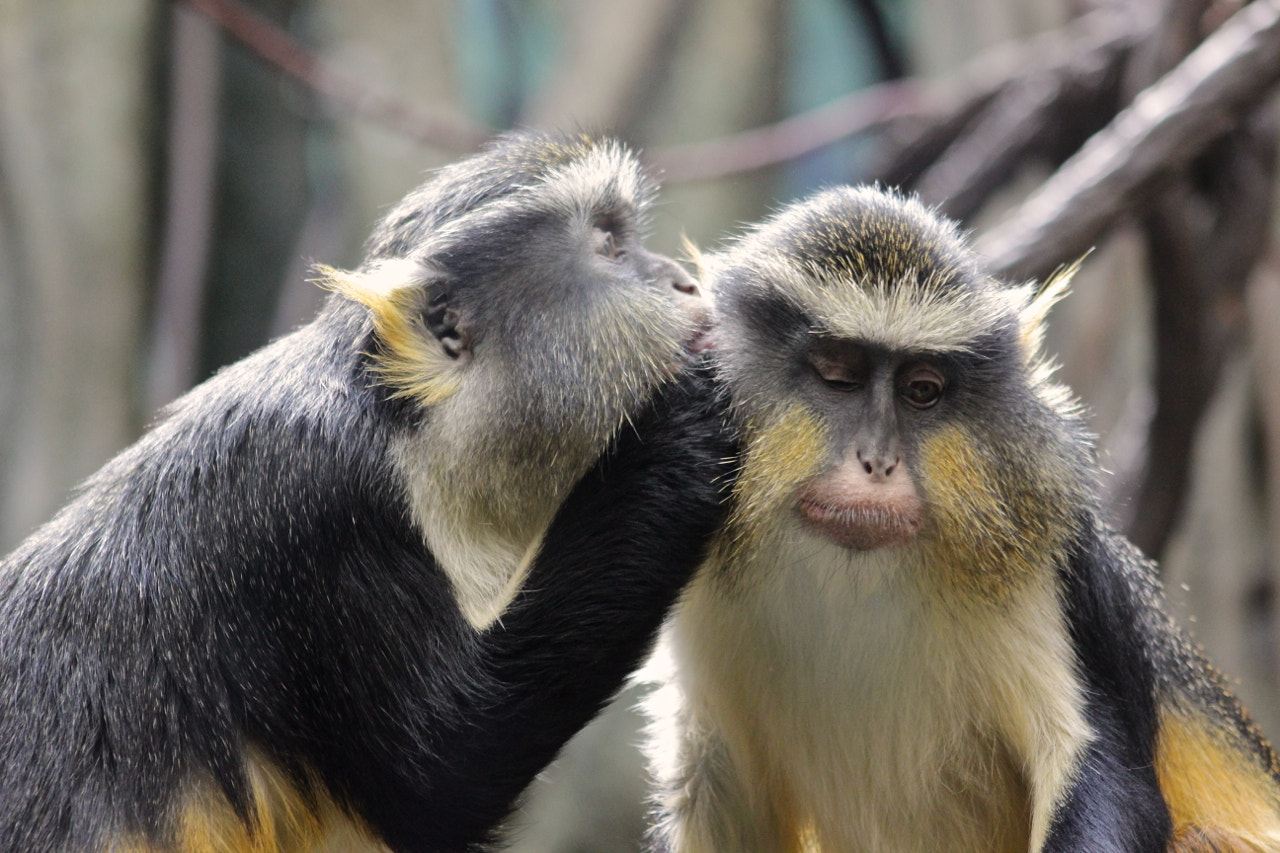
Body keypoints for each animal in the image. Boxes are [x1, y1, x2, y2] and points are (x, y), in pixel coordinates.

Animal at [0, 130, 735, 853]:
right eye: (610, 246)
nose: (684, 279)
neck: (408, 425)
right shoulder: (314, 499)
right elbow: (440, 773)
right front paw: (679, 429)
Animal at [645, 186, 1280, 853]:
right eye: (839, 376)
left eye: (921, 390)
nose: (878, 461)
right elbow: (711, 782)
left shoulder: (1045, 555)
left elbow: (1108, 775)